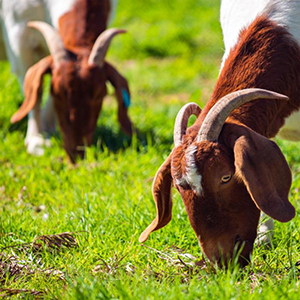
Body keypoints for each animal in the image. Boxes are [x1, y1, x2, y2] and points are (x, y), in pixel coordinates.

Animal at [0, 0, 131, 163]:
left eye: (100, 95)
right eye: (58, 94)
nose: (76, 154)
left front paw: (48, 129)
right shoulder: (18, 35)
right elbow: (35, 90)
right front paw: (37, 140)